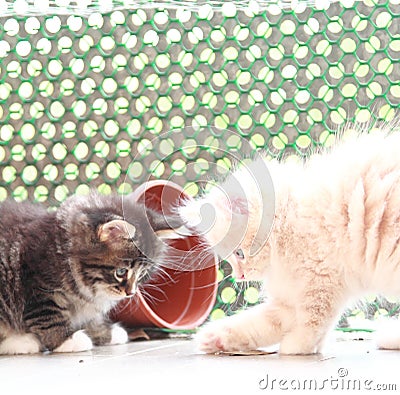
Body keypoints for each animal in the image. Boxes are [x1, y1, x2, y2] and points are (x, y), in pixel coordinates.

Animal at [0, 192, 180, 356]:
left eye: (143, 274)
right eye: (121, 272)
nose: (130, 293)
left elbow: (91, 318)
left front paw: (106, 332)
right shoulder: (37, 287)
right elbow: (49, 316)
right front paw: (66, 340)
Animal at [180, 130, 400, 356]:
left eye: (239, 253)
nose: (239, 276)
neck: (288, 220)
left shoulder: (322, 283)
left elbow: (313, 321)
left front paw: (297, 345)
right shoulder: (291, 298)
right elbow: (259, 323)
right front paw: (215, 338)